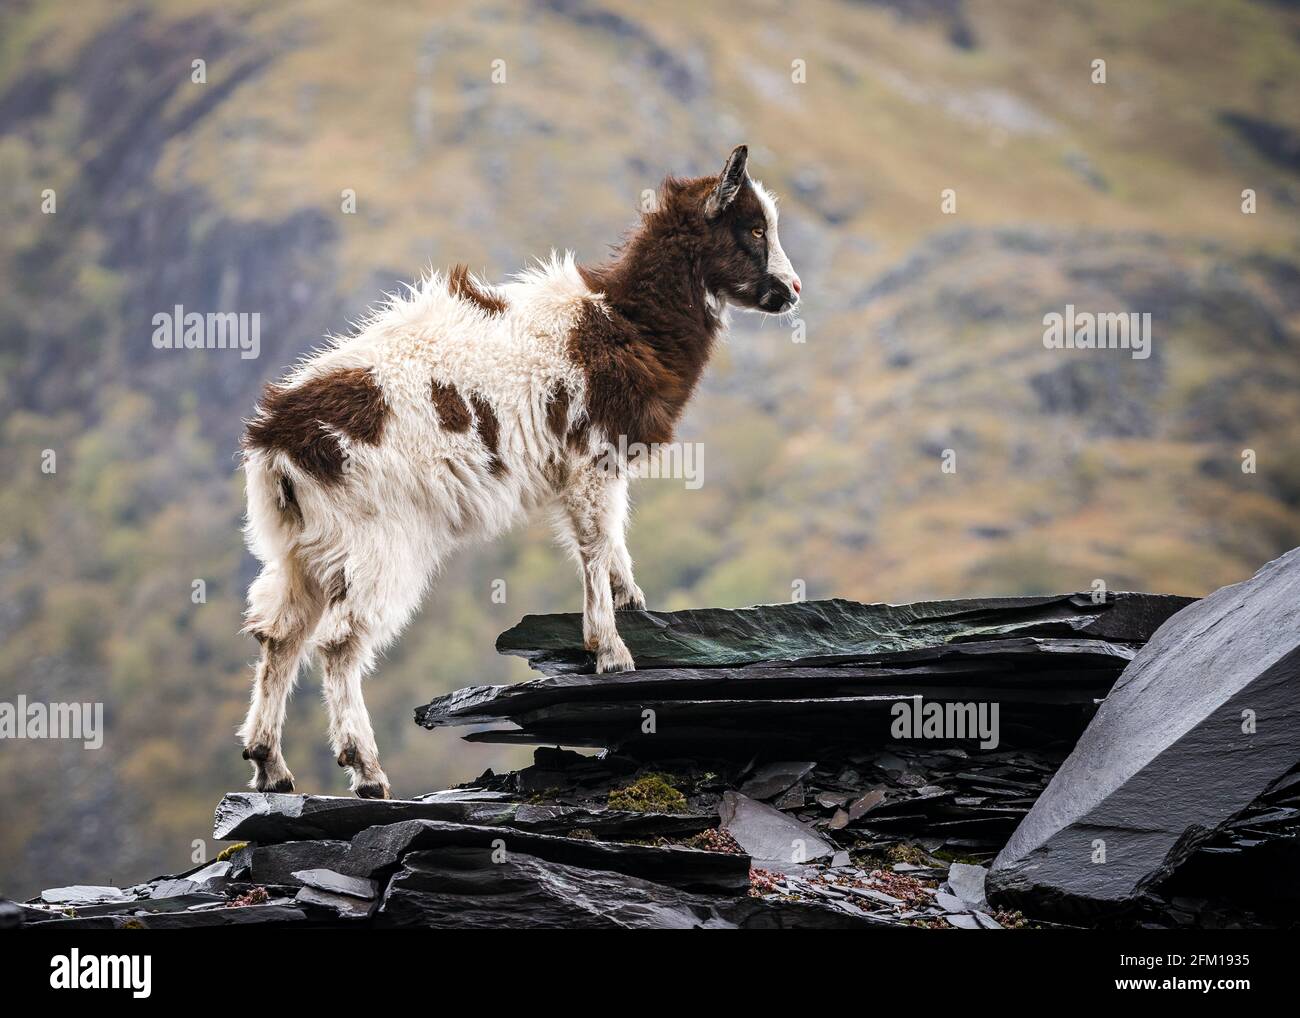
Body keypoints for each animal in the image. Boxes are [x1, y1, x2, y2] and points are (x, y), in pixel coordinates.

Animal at [237, 145, 795, 795]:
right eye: (752, 228)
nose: (792, 291)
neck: (622, 321)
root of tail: (276, 443)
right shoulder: (589, 459)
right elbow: (595, 544)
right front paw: (611, 652)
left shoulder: (595, 466)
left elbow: (612, 539)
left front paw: (631, 603)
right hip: (377, 540)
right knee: (338, 641)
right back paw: (366, 771)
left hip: (298, 549)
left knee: (279, 635)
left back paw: (270, 766)